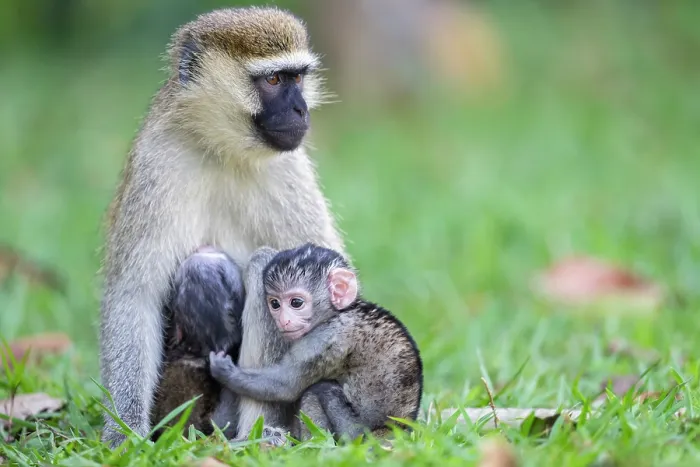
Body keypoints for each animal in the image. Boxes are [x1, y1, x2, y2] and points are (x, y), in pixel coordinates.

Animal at [209, 243, 423, 443]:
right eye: (275, 304)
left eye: (296, 303)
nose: (283, 321)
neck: (339, 312)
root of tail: (391, 432)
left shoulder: (324, 338)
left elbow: (285, 386)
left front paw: (224, 371)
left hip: (357, 432)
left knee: (318, 390)